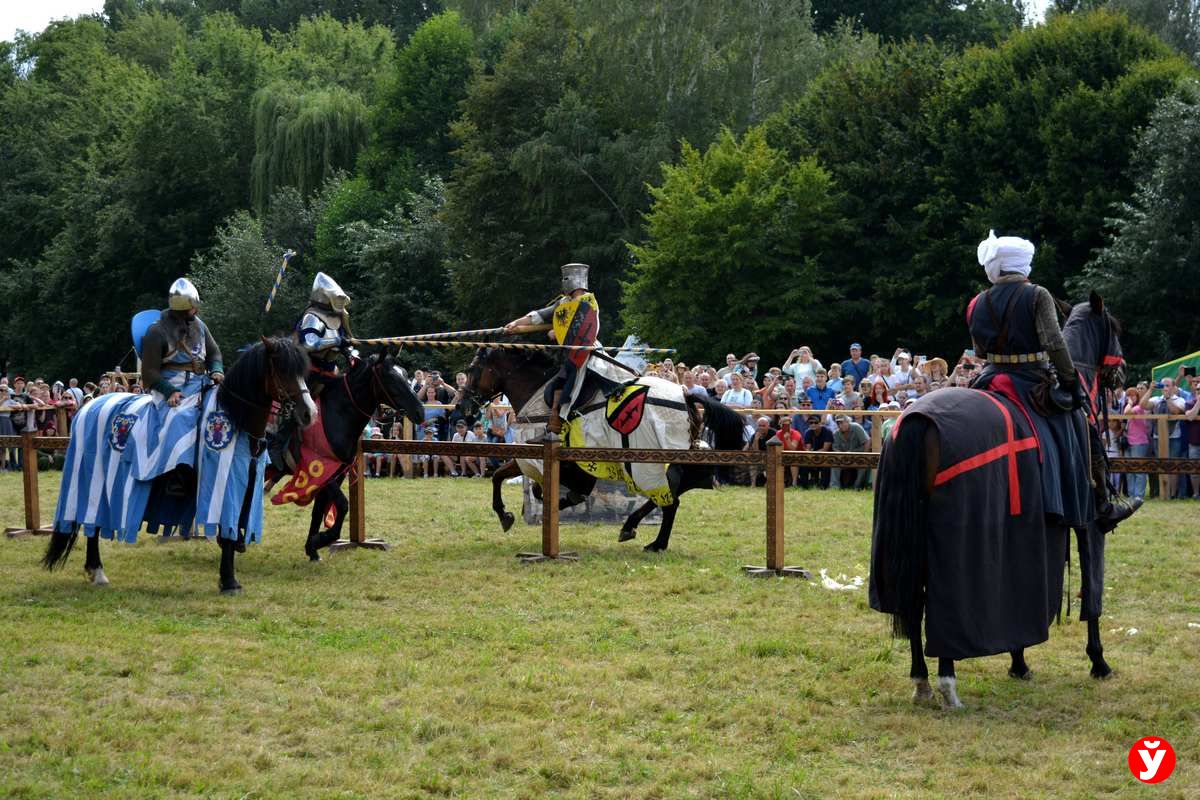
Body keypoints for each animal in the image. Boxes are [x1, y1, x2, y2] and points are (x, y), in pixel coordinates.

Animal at [41, 335, 314, 594]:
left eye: (302, 371)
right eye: (282, 370)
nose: (309, 413)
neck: (236, 417)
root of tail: (89, 406)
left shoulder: (248, 485)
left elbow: (234, 527)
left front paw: (230, 573)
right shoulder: (223, 486)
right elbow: (226, 531)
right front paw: (229, 581)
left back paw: (95, 570)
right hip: (93, 481)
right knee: (92, 524)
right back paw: (97, 571)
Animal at [266, 352, 422, 561]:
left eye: (405, 374)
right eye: (390, 378)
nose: (420, 412)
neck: (336, 414)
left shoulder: (337, 473)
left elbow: (319, 510)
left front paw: (312, 548)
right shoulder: (322, 472)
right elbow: (343, 505)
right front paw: (323, 539)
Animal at [460, 347, 748, 554]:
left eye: (473, 370)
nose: (464, 406)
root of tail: (686, 394)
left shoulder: (550, 461)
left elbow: (524, 484)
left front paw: (510, 513)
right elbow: (511, 479)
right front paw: (516, 513)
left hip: (647, 462)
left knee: (670, 498)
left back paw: (649, 538)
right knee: (679, 491)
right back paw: (641, 532)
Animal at [873, 297, 1123, 710]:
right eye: (1115, 328)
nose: (1121, 374)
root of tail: (917, 419)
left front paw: (1019, 661)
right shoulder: (1088, 524)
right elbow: (1092, 593)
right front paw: (1098, 661)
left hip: (911, 537)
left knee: (914, 601)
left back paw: (922, 681)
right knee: (942, 606)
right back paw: (947, 683)